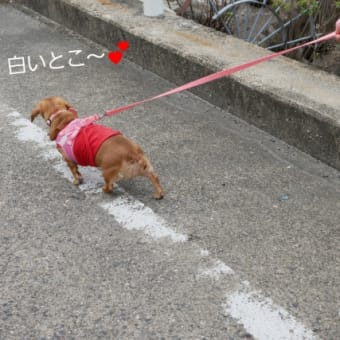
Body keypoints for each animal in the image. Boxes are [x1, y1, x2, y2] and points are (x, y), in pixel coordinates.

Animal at [31, 96, 164, 199]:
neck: (63, 119)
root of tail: (133, 153)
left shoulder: (68, 159)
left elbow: (75, 171)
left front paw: (77, 181)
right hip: (147, 169)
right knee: (155, 178)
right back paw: (159, 194)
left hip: (107, 171)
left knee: (109, 186)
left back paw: (104, 189)